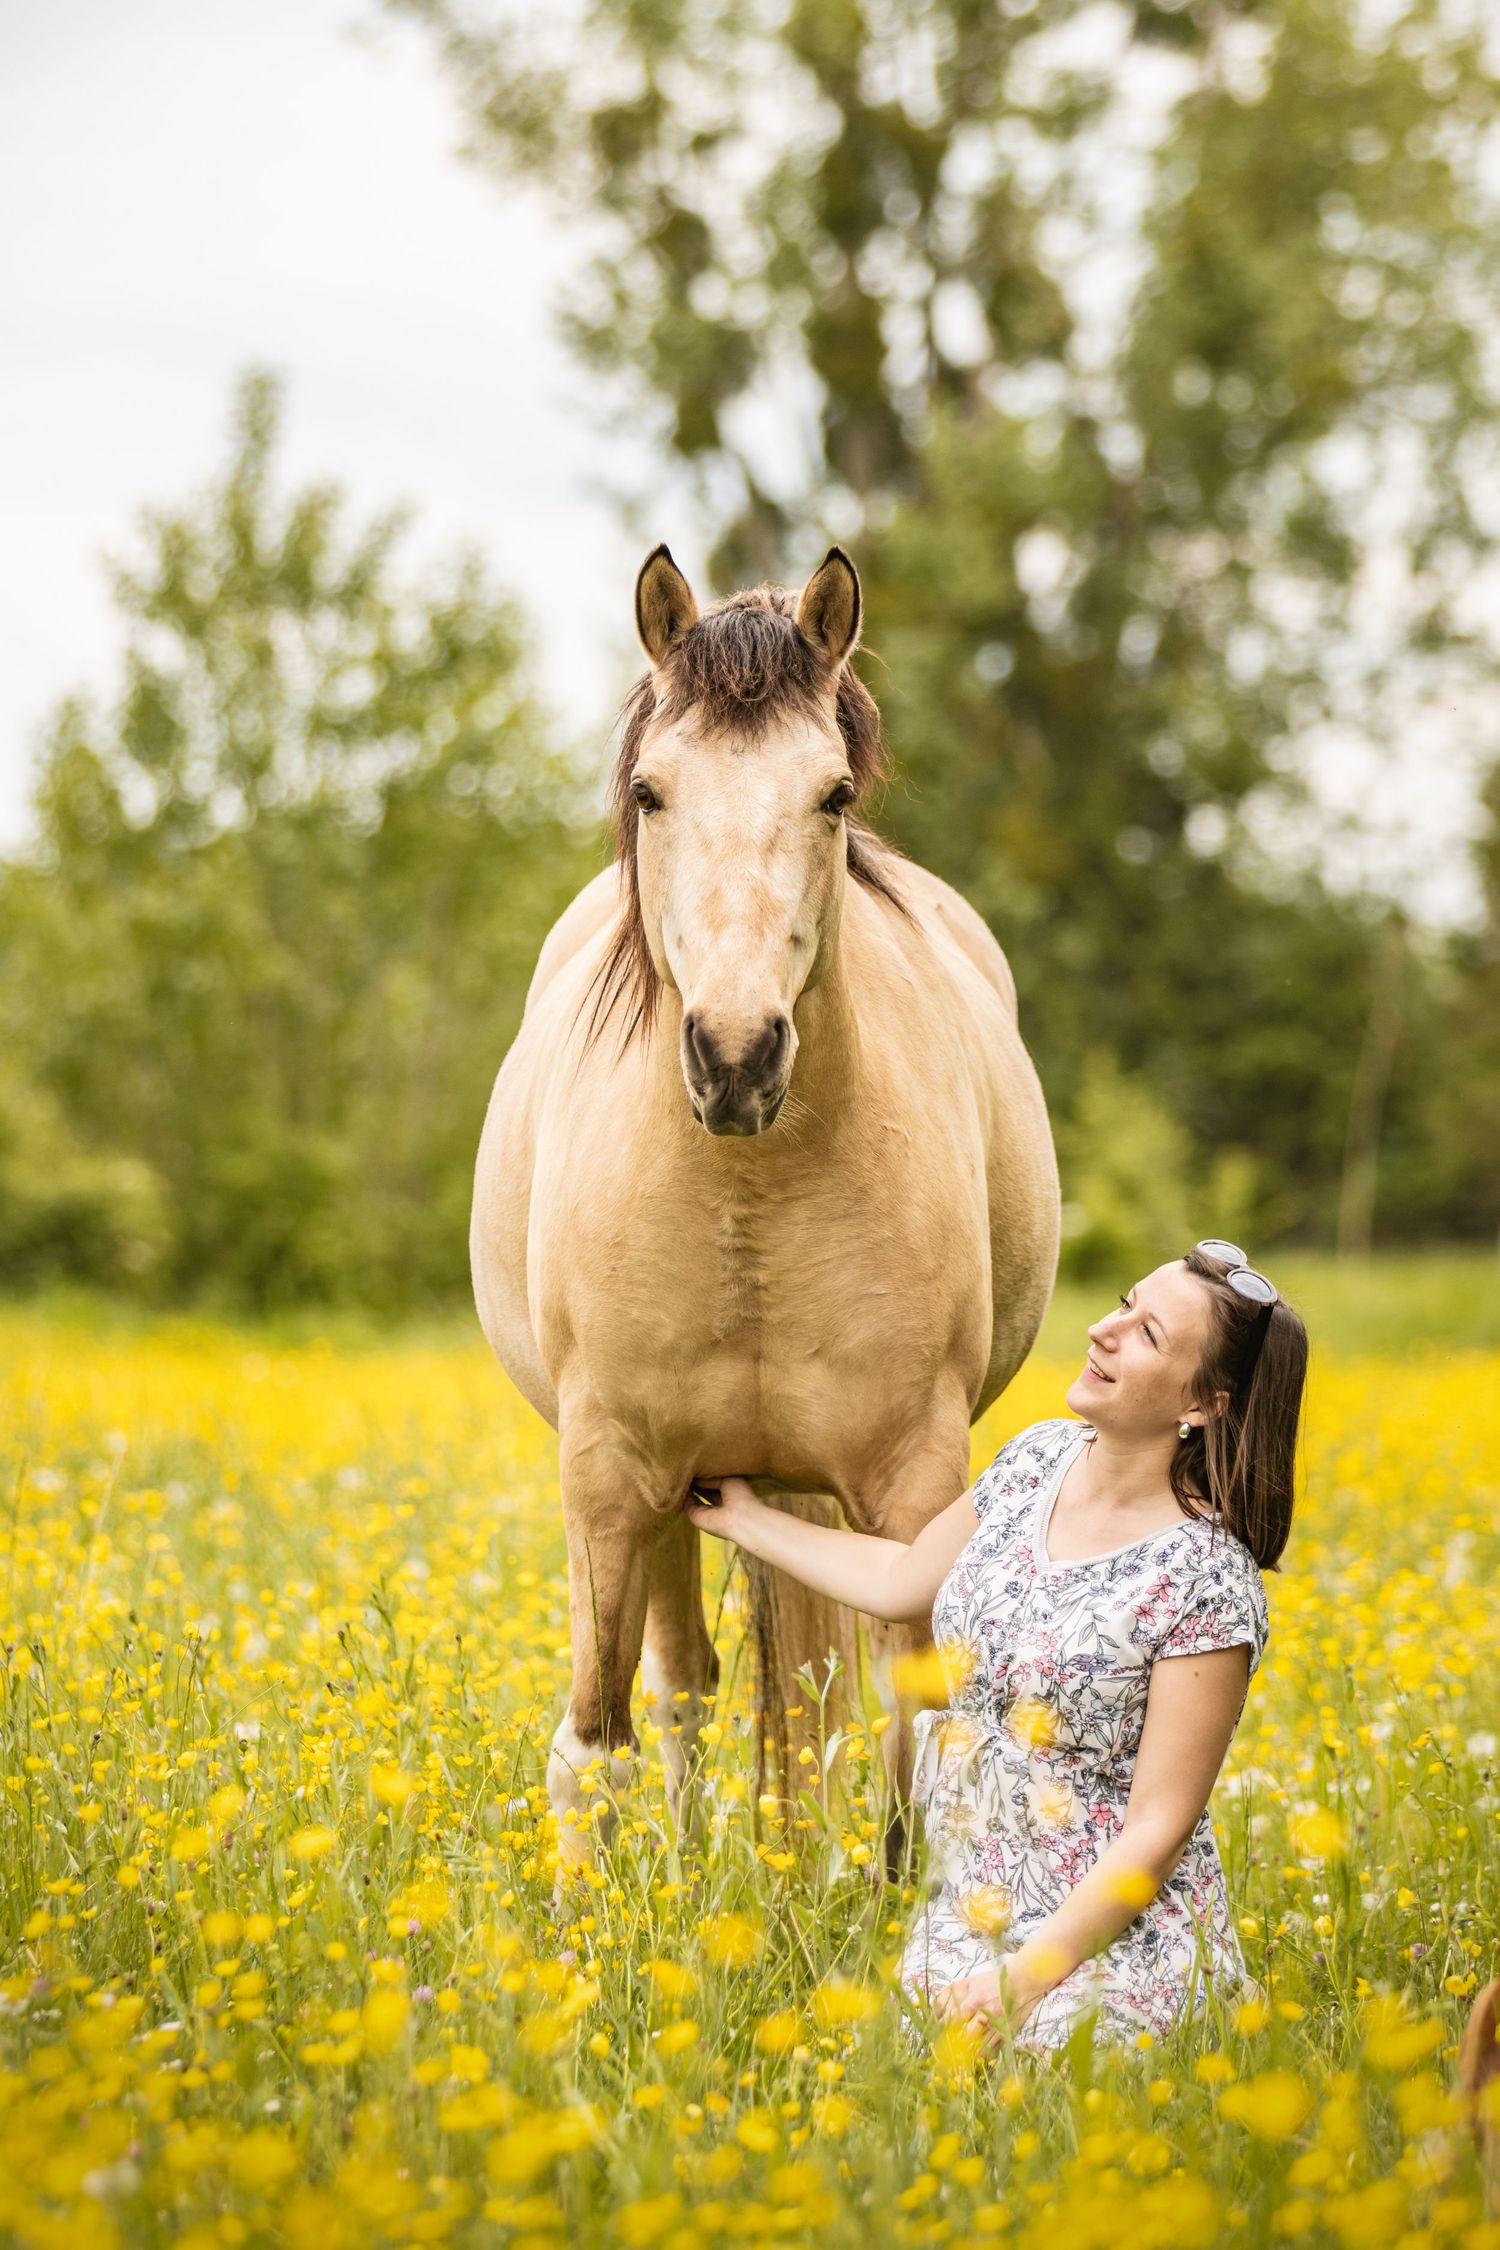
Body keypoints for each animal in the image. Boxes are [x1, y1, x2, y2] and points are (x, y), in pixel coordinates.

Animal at [470, 543, 1059, 1873]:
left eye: (833, 794)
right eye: (651, 792)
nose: (736, 1055)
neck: (750, 1193)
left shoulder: (908, 1480)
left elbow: (908, 1741)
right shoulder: (607, 1475)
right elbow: (596, 1747)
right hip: (674, 1499)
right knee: (685, 1688)